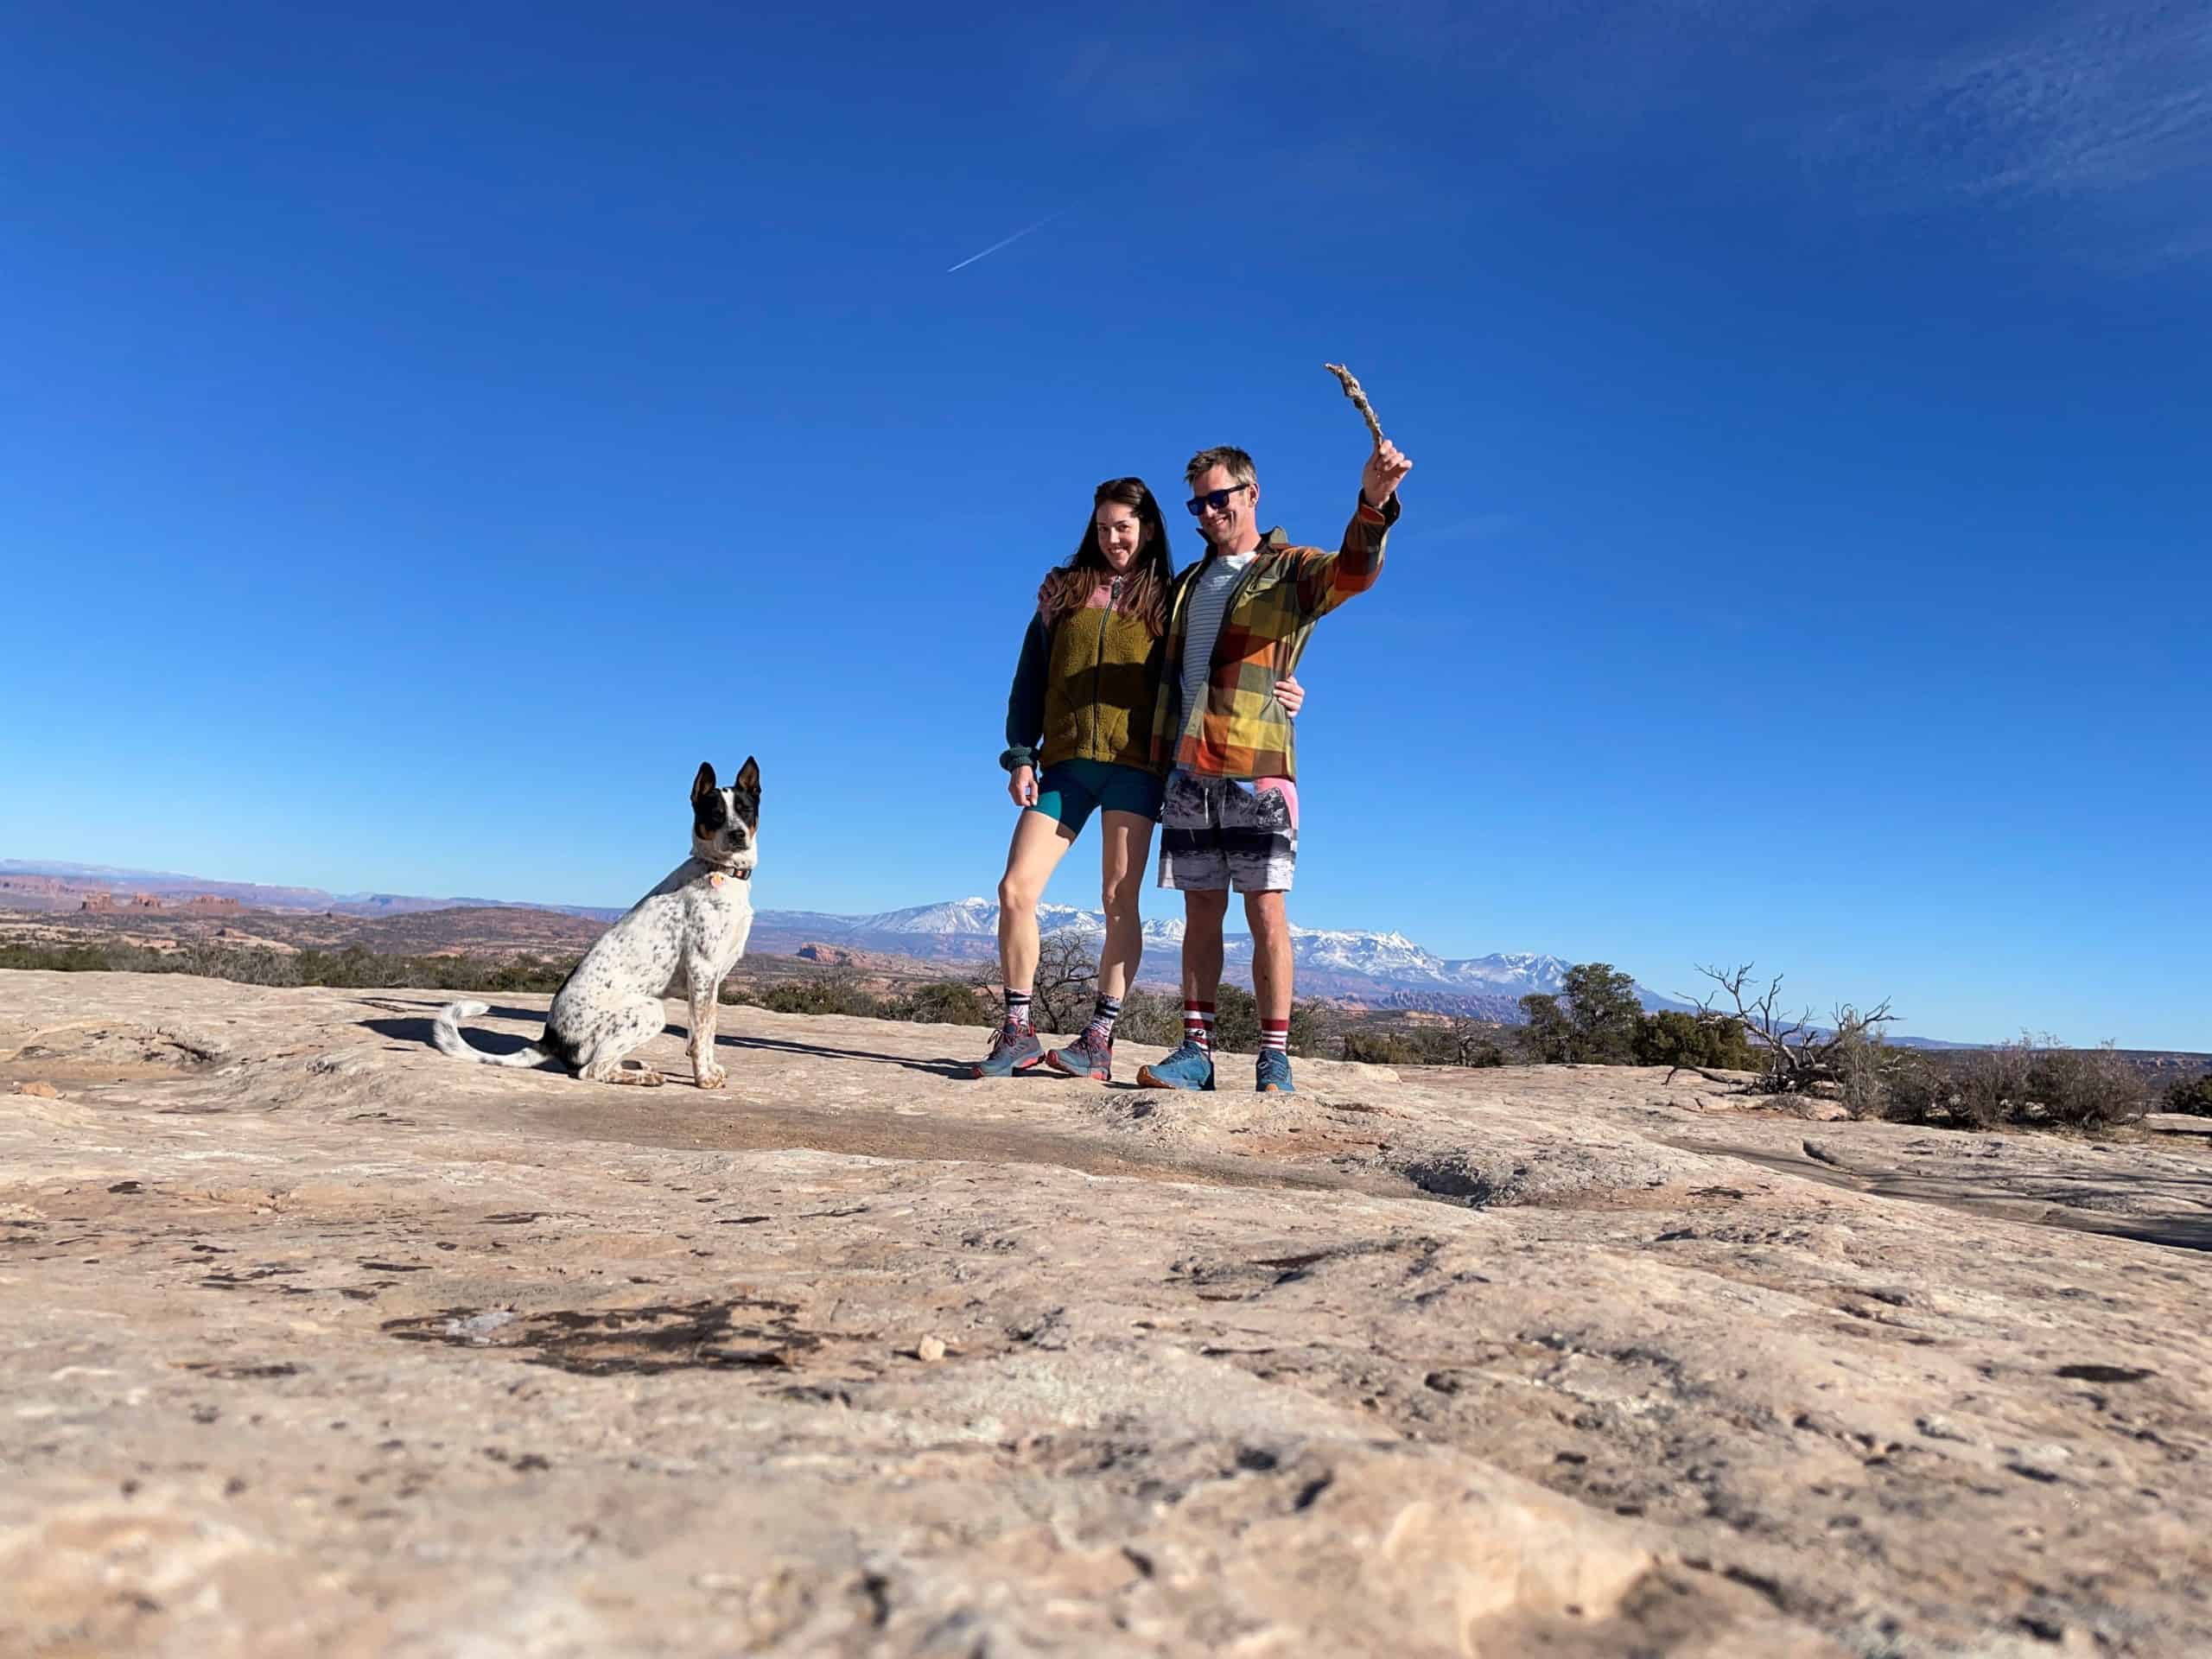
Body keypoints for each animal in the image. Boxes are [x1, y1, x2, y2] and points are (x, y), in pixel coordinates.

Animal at [433, 759, 759, 1088]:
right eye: (716, 814)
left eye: (745, 809)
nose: (737, 835)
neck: (719, 869)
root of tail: (551, 1037)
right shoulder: (702, 969)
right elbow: (703, 1033)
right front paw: (703, 1077)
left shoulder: (711, 978)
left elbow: (705, 1029)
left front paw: (711, 1068)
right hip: (650, 1010)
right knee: (591, 1070)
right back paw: (642, 1076)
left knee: (598, 1063)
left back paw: (636, 1065)